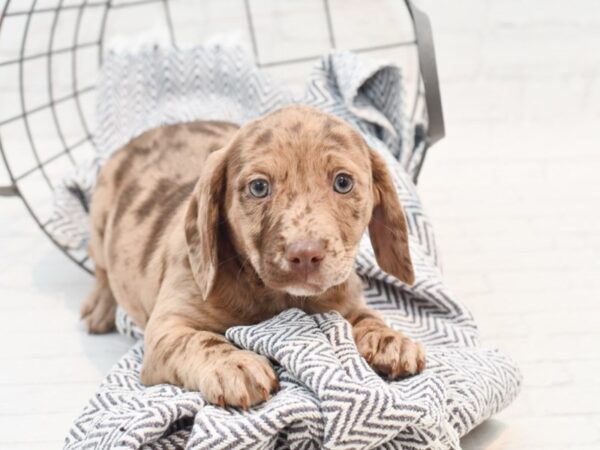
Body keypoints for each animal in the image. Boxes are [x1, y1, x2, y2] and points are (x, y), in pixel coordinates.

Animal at [82, 104, 424, 408]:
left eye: (343, 182)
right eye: (259, 187)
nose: (305, 254)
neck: (274, 295)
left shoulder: (343, 301)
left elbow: (367, 317)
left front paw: (388, 339)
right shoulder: (167, 329)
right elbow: (201, 341)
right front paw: (233, 365)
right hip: (99, 220)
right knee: (102, 269)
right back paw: (100, 308)